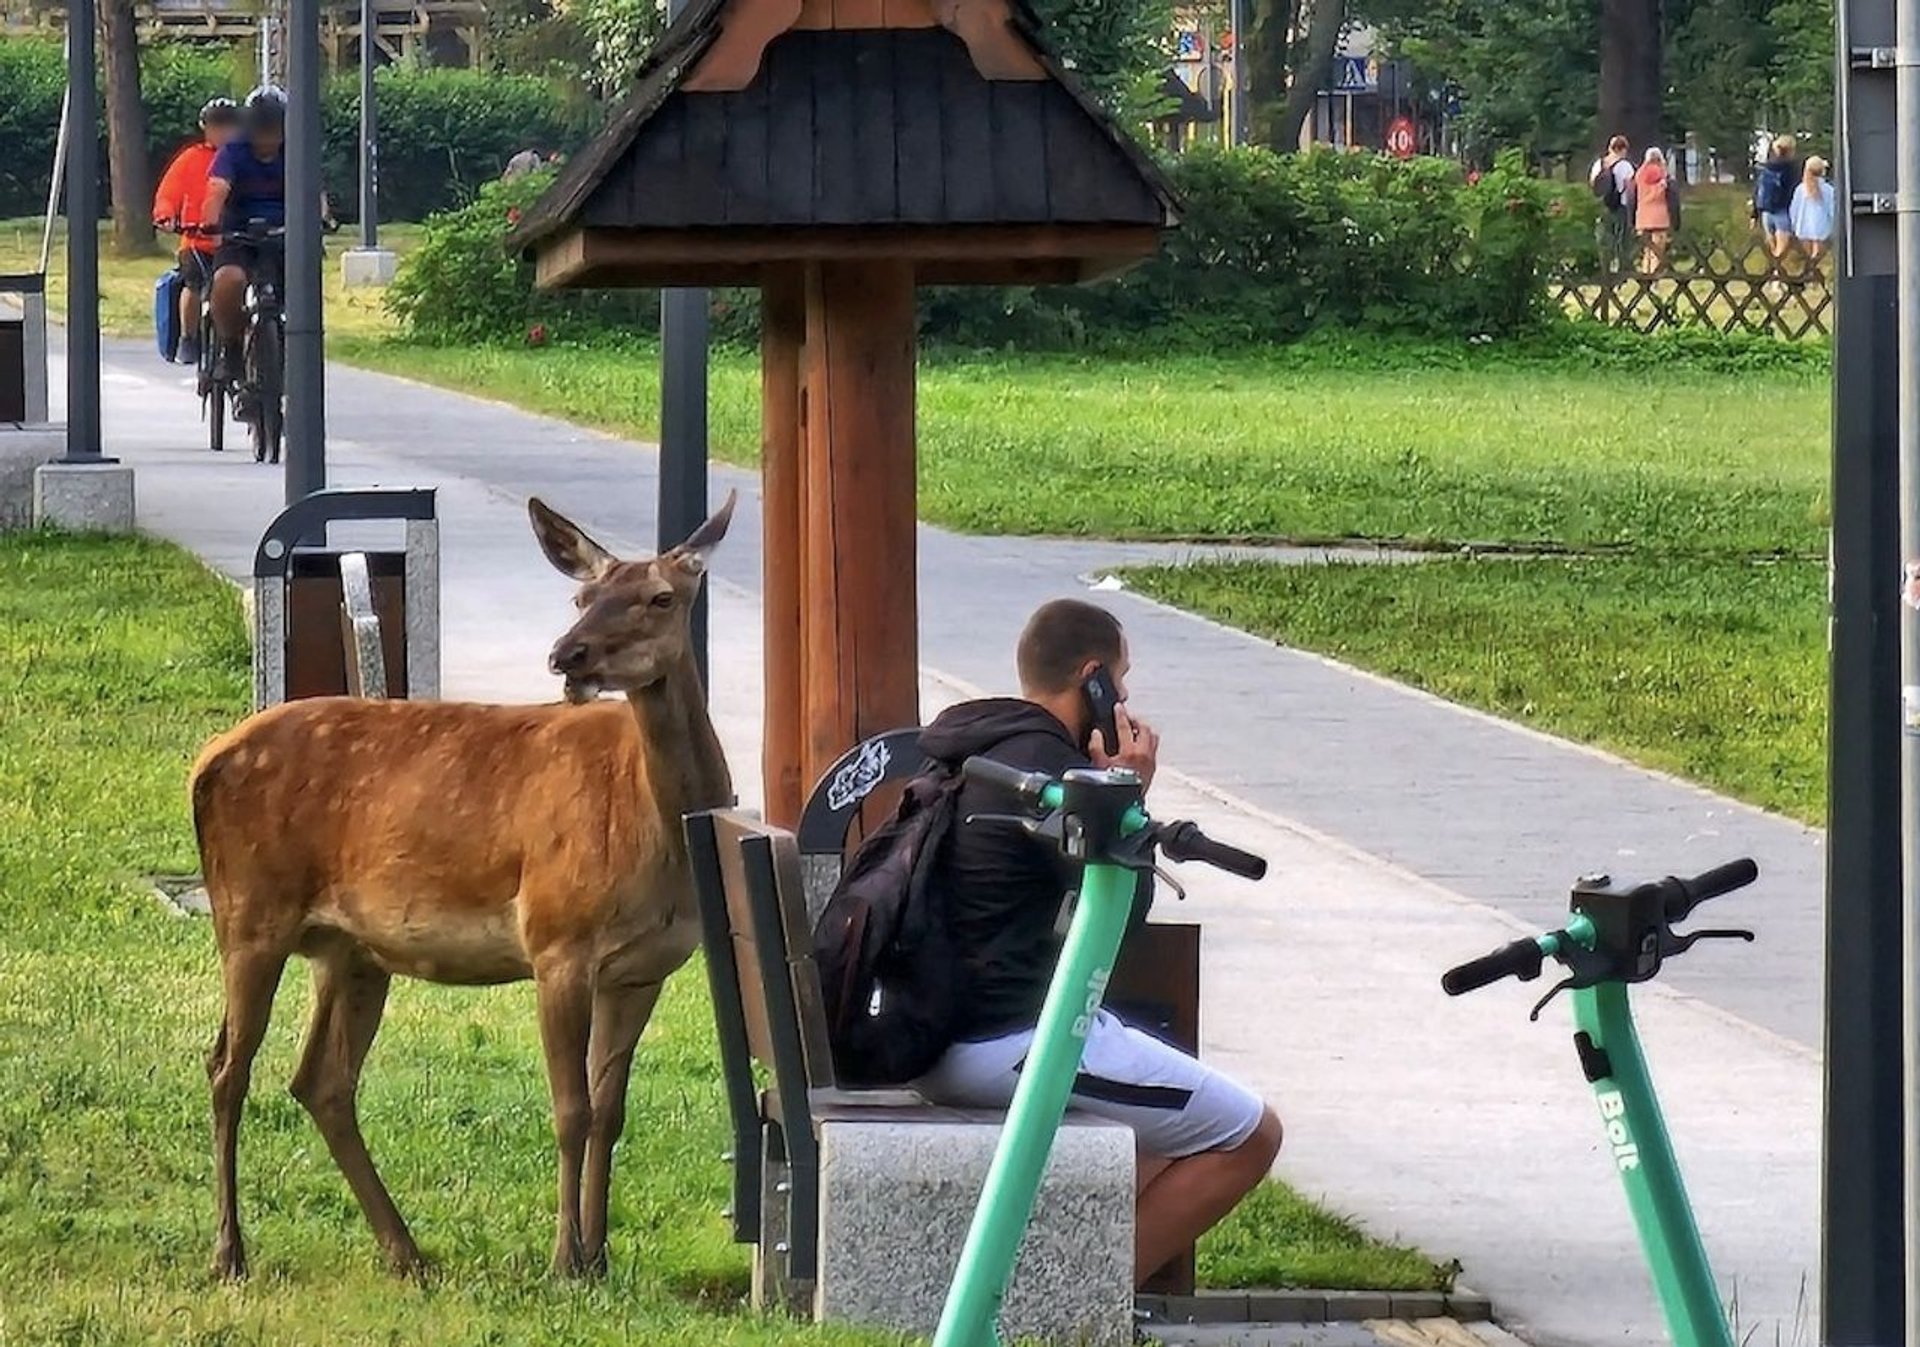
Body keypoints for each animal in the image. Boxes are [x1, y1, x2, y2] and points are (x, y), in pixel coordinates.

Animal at [189, 491, 733, 1281]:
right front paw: (564, 1260)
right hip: (248, 909)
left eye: (661, 596)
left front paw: (600, 1255)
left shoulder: (643, 968)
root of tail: (203, 763)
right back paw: (231, 1251)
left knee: (320, 1080)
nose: (567, 655)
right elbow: (570, 1109)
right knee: (228, 1064)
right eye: (581, 596)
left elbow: (610, 1110)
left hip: (350, 949)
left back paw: (404, 1250)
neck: (658, 835)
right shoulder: (557, 939)